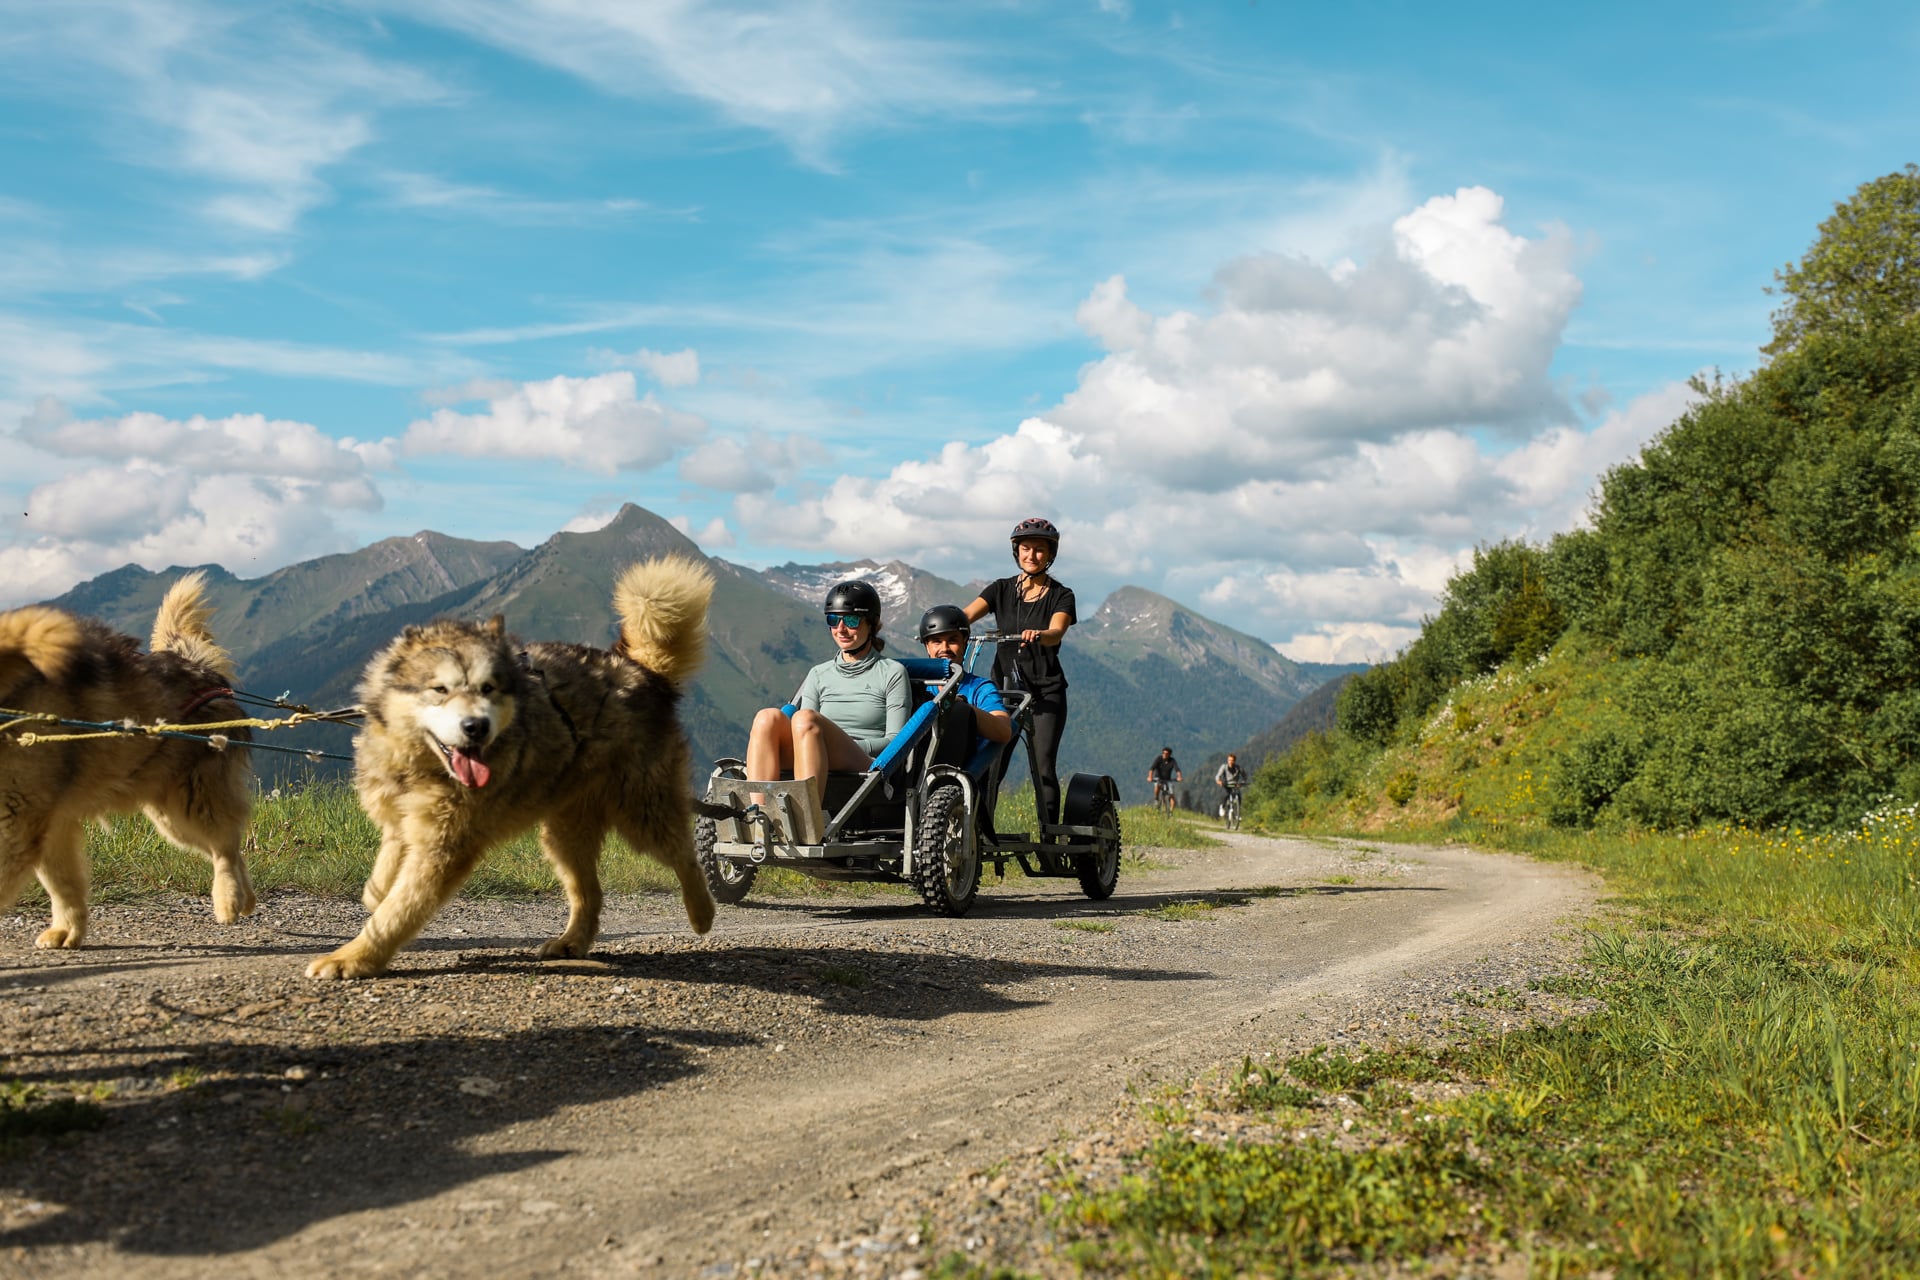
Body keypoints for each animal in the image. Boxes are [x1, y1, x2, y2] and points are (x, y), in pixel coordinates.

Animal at [0, 571, 255, 951]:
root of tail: (199, 667)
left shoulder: (19, 815)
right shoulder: (47, 821)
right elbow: (63, 883)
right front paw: (68, 929)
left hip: (188, 802)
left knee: (224, 844)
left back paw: (229, 899)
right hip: (168, 813)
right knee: (231, 846)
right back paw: (247, 898)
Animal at [311, 552, 721, 982]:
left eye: (488, 688)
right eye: (440, 690)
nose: (476, 726)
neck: (422, 765)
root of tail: (640, 668)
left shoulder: (444, 847)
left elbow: (397, 910)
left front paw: (353, 957)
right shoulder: (400, 820)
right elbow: (387, 865)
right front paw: (375, 893)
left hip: (642, 809)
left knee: (685, 855)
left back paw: (702, 912)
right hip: (565, 831)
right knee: (589, 892)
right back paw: (572, 941)